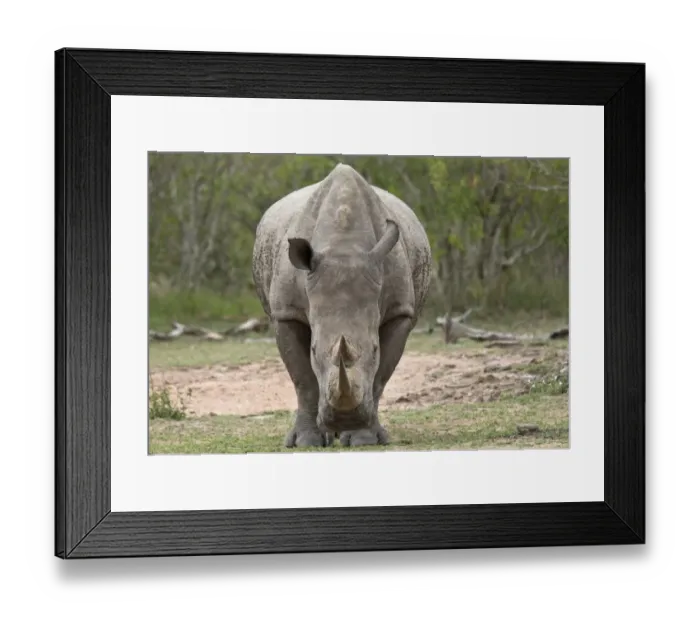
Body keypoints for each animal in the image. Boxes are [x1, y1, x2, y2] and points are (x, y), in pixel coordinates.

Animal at [252, 163, 432, 448]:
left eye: (374, 349)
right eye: (314, 350)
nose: (345, 419)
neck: (344, 245)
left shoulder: (399, 310)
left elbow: (380, 375)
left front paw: (363, 439)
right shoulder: (285, 312)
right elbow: (303, 379)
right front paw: (307, 442)